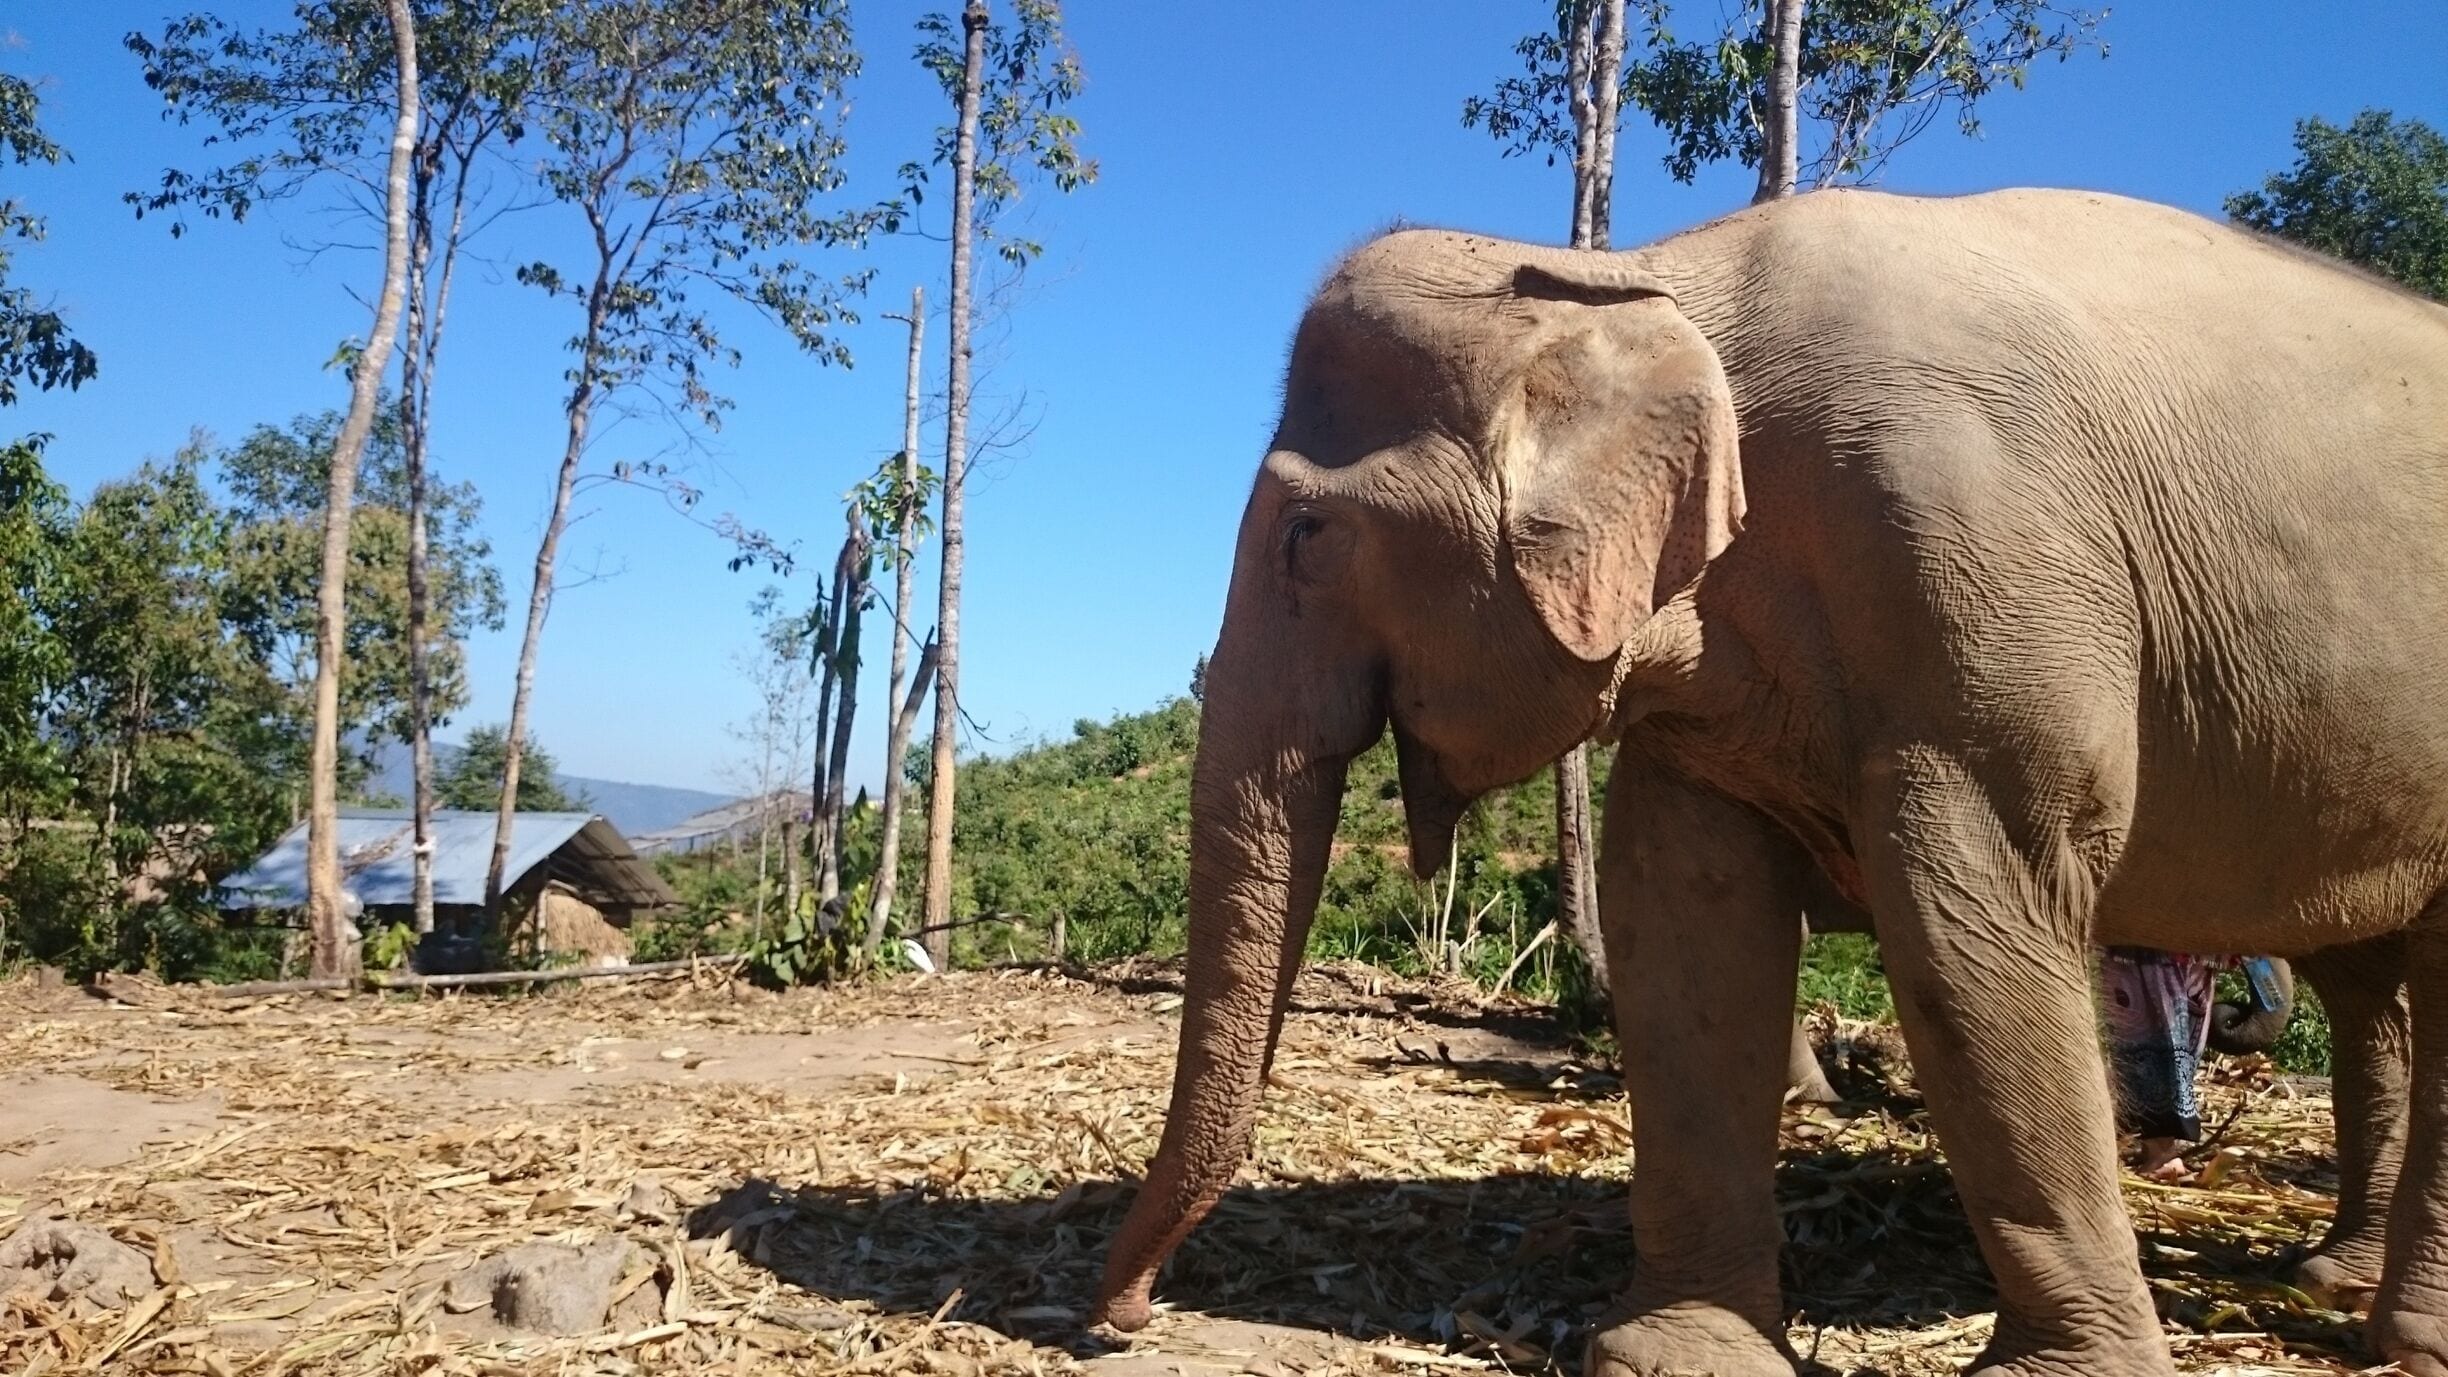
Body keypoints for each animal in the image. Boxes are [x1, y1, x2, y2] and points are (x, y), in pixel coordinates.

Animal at [1093, 188, 2448, 1377]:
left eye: (1307, 540)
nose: (1124, 1317)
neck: (1646, 273)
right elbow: (1681, 921)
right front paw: (1673, 1353)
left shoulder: (1976, 568)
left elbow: (1970, 930)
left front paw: (2058, 1374)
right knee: (2371, 985)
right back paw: (2333, 1278)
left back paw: (2398, 1334)